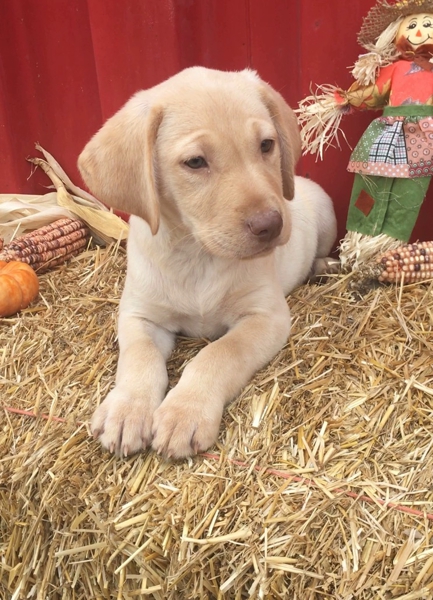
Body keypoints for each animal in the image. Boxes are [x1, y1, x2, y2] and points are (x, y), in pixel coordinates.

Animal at [77, 67, 336, 460]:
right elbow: (139, 357)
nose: (271, 224)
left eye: (266, 145)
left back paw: (322, 266)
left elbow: (220, 353)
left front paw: (185, 412)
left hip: (326, 215)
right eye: (195, 162)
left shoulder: (266, 317)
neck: (198, 254)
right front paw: (127, 408)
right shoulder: (139, 315)